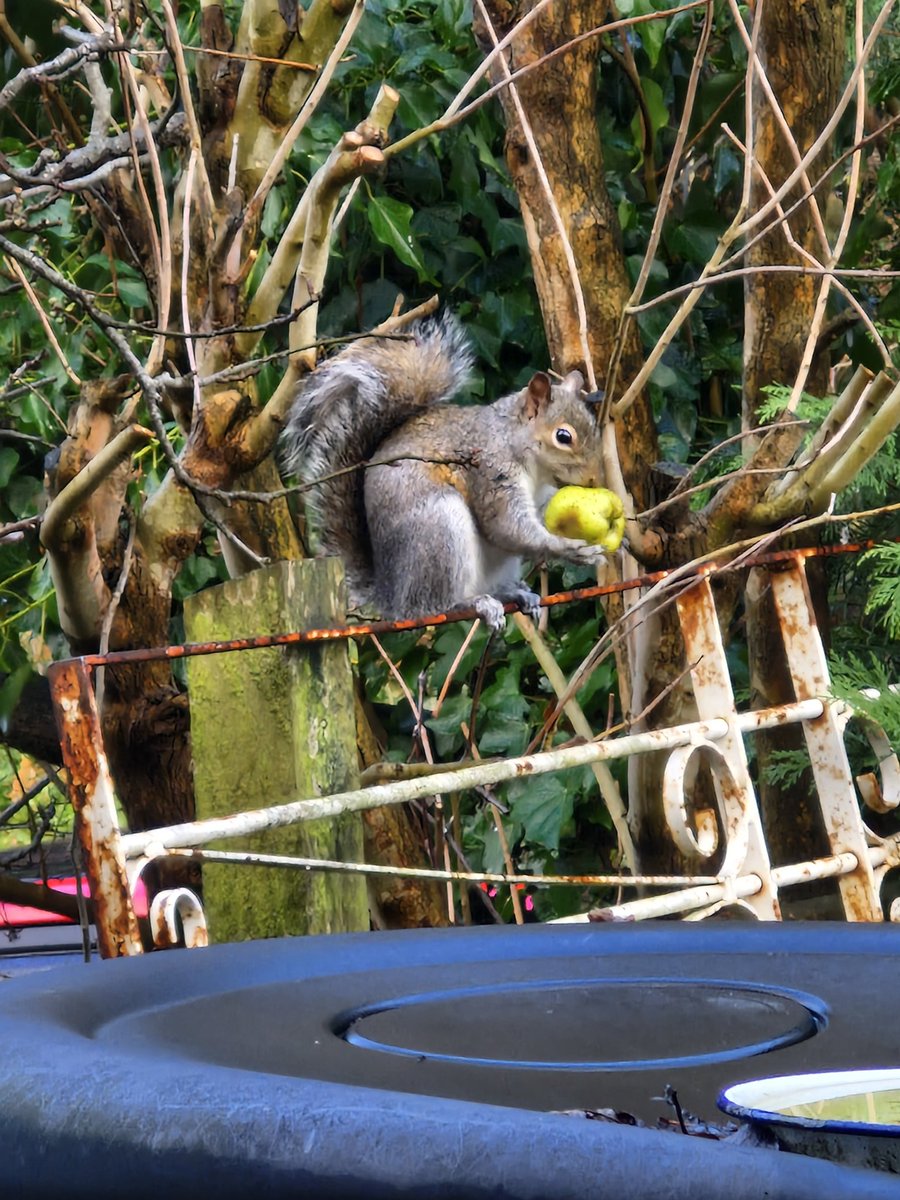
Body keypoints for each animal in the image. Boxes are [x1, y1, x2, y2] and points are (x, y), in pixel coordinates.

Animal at [283, 313, 608, 629]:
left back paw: (514, 595)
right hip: (439, 531)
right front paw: (570, 549)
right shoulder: (490, 470)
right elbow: (506, 527)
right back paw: (470, 604)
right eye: (563, 436)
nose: (595, 479)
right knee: (430, 607)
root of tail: (391, 597)